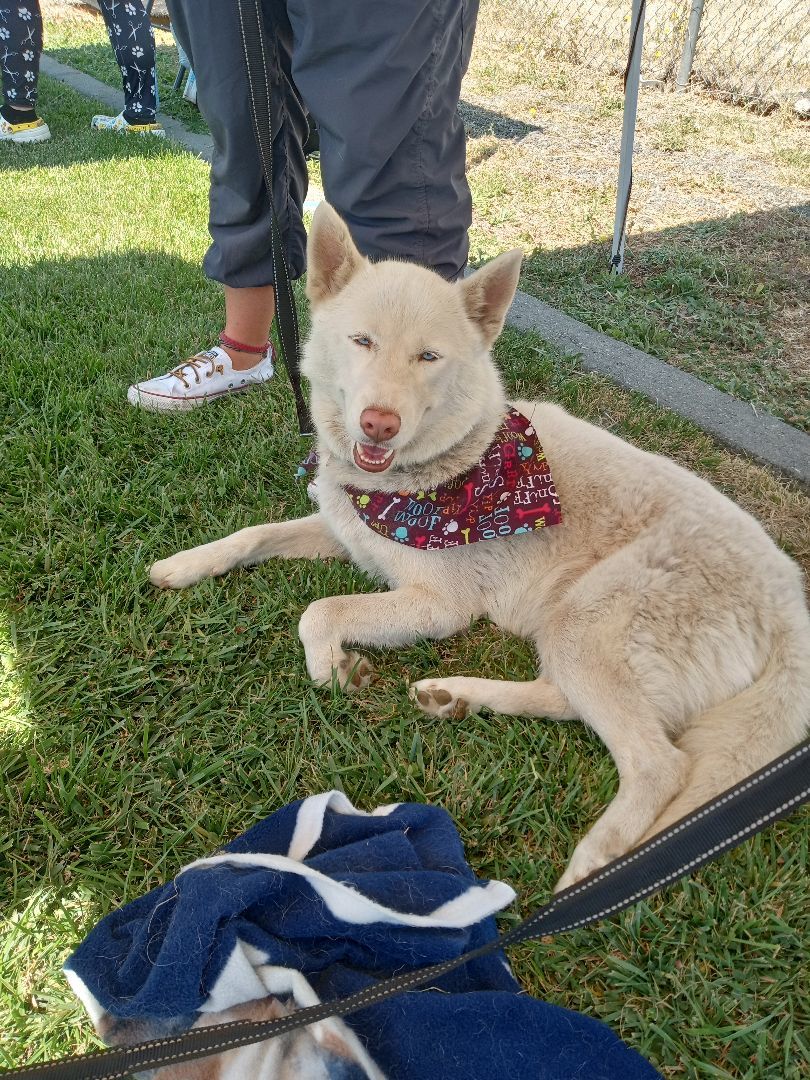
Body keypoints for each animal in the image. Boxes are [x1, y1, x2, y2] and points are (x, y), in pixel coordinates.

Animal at [152, 206, 810, 889]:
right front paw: (184, 564)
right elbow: (254, 535)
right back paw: (456, 696)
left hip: (587, 619)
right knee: (566, 702)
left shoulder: (439, 605)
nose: (378, 424)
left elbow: (320, 612)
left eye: (428, 356)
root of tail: (790, 605)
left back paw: (593, 869)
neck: (423, 477)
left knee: (660, 765)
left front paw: (333, 667)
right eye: (363, 341)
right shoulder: (343, 533)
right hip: (572, 634)